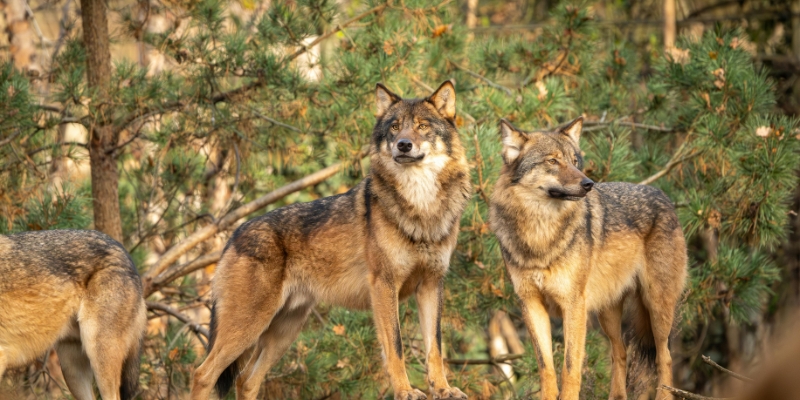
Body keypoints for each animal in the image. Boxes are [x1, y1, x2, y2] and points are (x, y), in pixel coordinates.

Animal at [189, 81, 472, 400]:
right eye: (395, 127)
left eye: (423, 126)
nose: (403, 144)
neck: (422, 207)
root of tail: (234, 234)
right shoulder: (384, 285)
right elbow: (397, 347)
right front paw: (405, 391)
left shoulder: (431, 285)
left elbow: (435, 348)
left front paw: (444, 389)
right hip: (250, 326)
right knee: (203, 374)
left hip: (282, 333)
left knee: (246, 381)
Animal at [488, 117, 687, 400]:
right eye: (552, 161)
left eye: (574, 160)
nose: (588, 184)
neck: (540, 234)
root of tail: (664, 196)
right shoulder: (531, 304)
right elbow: (546, 367)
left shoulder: (574, 305)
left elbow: (570, 368)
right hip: (608, 314)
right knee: (620, 352)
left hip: (657, 307)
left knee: (665, 356)